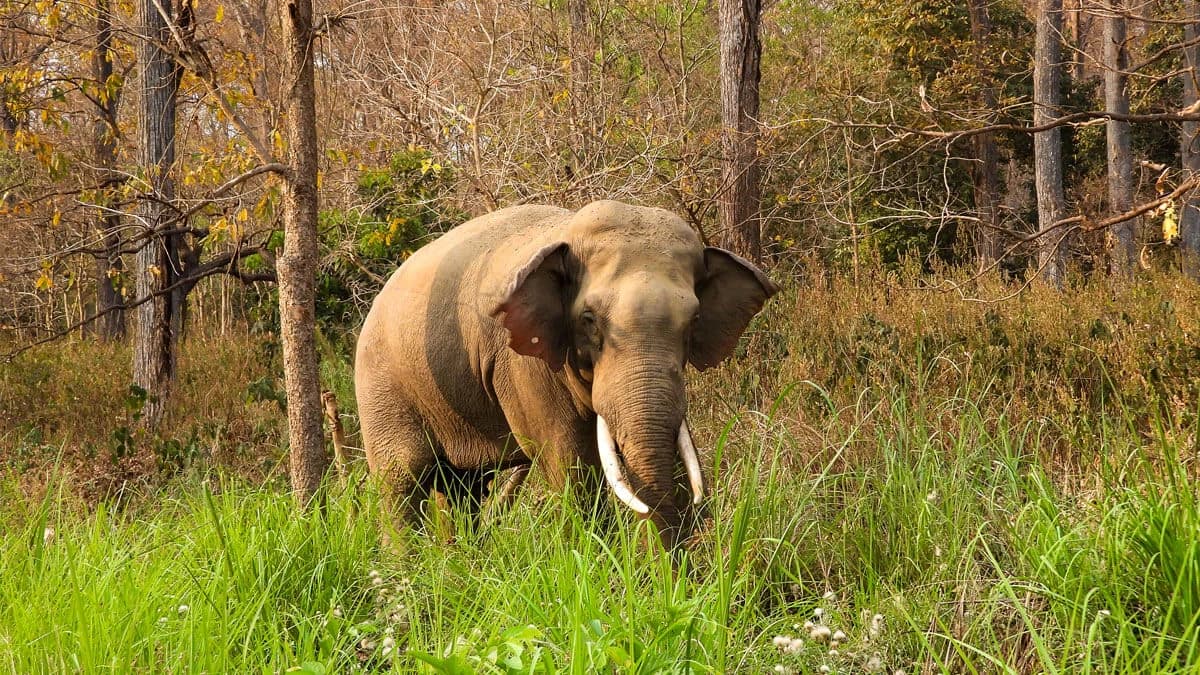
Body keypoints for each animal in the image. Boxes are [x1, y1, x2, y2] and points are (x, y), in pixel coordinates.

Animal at [354, 200, 778, 547]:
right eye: (589, 319)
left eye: (693, 321)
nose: (673, 580)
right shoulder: (522, 363)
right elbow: (569, 464)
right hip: (381, 388)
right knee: (401, 481)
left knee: (464, 486)